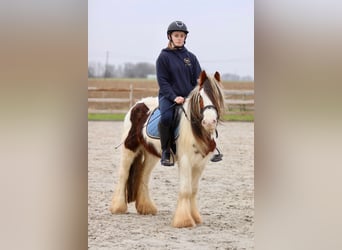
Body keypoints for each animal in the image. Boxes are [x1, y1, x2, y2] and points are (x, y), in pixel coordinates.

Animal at [109, 70, 224, 229]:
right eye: (200, 97)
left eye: (217, 97)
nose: (209, 122)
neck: (196, 131)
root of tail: (137, 105)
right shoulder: (185, 161)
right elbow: (186, 190)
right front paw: (184, 220)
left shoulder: (200, 163)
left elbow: (193, 190)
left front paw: (195, 217)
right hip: (129, 149)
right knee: (123, 175)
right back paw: (118, 207)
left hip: (152, 154)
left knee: (143, 176)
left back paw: (146, 208)